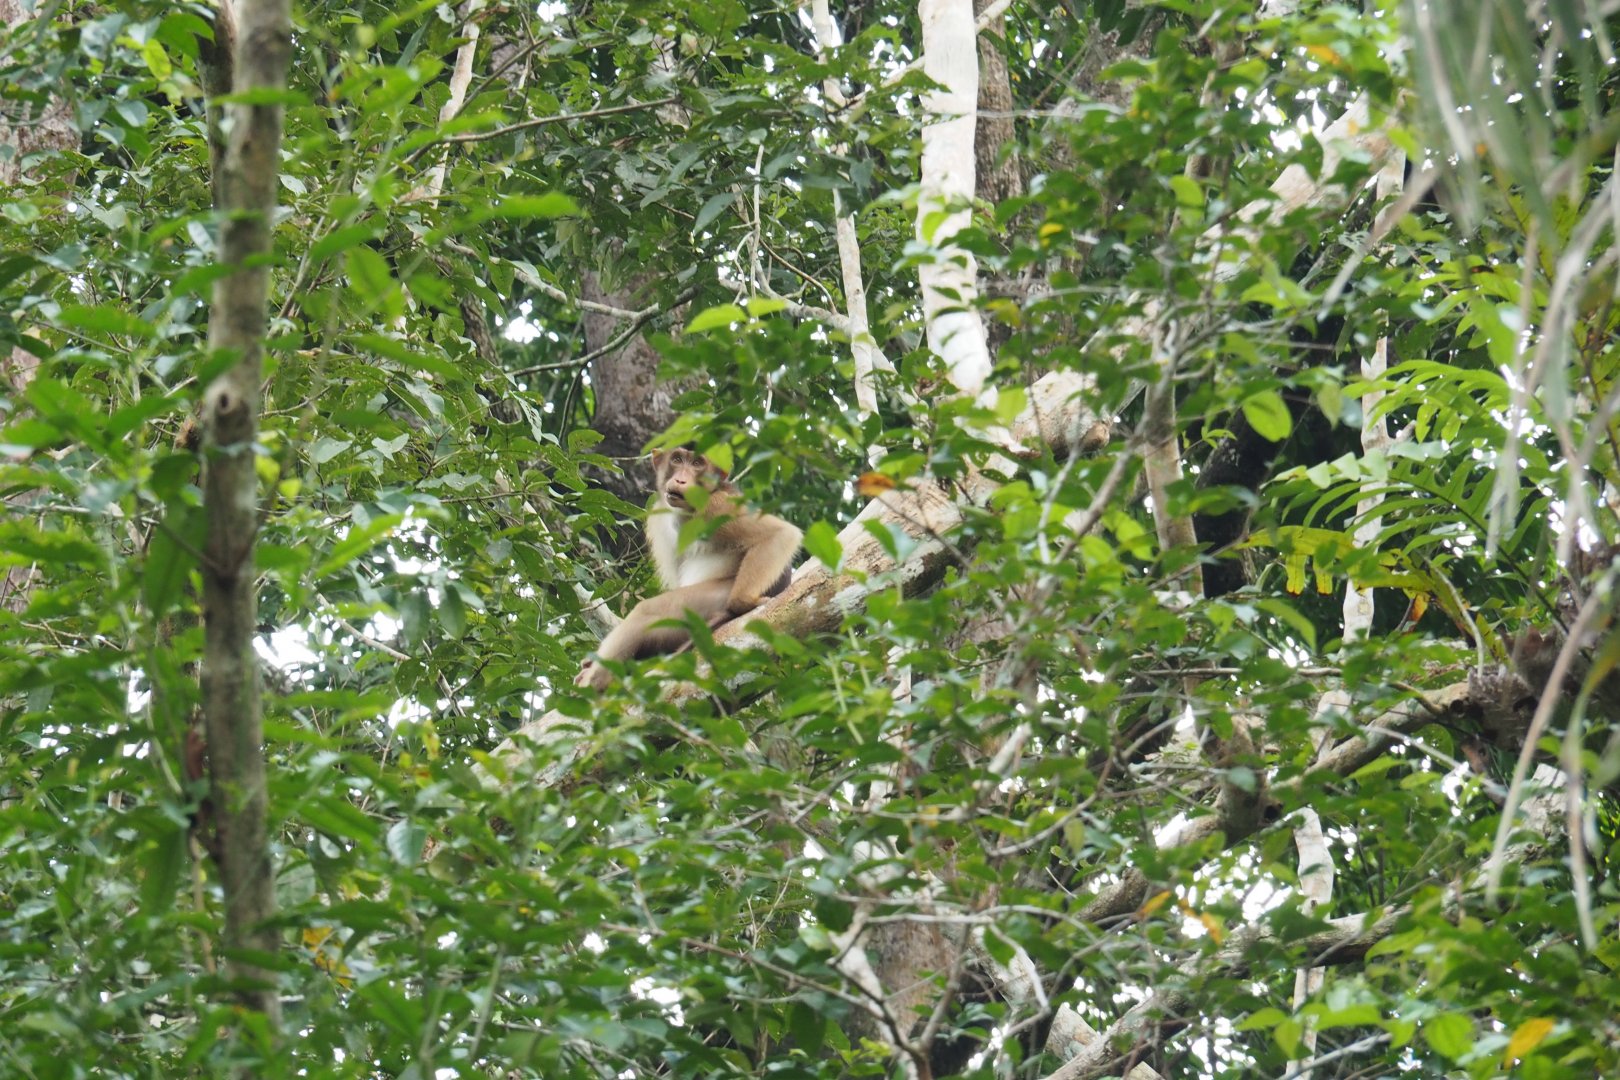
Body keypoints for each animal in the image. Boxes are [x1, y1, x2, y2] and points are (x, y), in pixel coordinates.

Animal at [575, 448, 803, 690]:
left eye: (697, 464)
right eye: (677, 460)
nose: (681, 480)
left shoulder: (715, 507)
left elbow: (780, 533)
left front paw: (744, 602)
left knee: (647, 611)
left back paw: (596, 679)